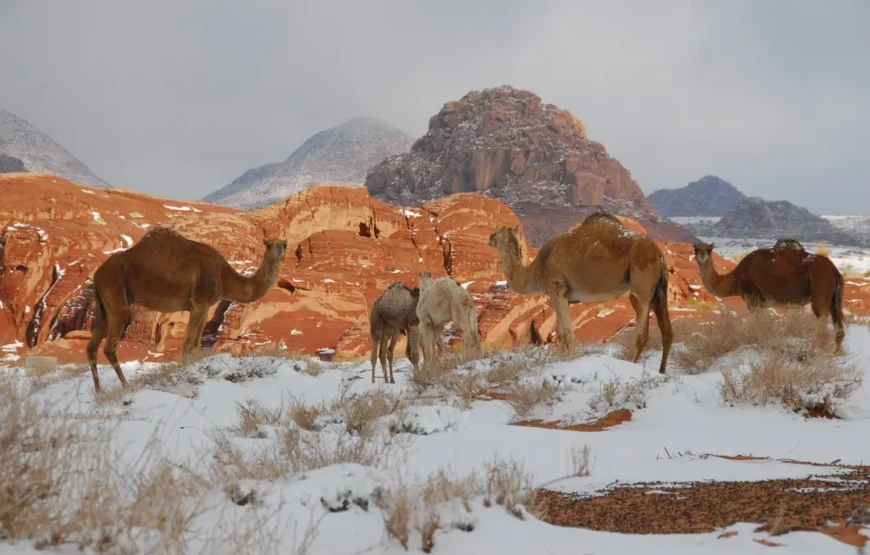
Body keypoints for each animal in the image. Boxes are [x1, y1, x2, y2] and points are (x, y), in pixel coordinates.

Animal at [87, 228, 288, 394]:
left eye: (284, 243)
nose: (280, 250)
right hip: (116, 298)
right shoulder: (199, 301)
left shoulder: (205, 306)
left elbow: (197, 342)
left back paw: (98, 391)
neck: (224, 277)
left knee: (92, 347)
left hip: (102, 307)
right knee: (110, 346)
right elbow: (189, 342)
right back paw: (126, 386)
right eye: (268, 244)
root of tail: (97, 274)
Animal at [490, 213, 676, 374]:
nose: (490, 238)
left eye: (498, 231)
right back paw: (662, 371)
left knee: (642, 332)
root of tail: (659, 253)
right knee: (667, 331)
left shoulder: (557, 288)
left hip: (641, 281)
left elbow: (567, 334)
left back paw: (631, 364)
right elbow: (560, 335)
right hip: (659, 290)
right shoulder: (564, 296)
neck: (535, 270)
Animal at [692, 240, 848, 354]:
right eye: (696, 249)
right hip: (833, 300)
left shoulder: (754, 301)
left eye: (709, 249)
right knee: (838, 327)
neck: (736, 278)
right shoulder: (760, 304)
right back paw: (836, 354)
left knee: (823, 324)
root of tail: (834, 270)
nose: (702, 256)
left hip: (819, 292)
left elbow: (759, 327)